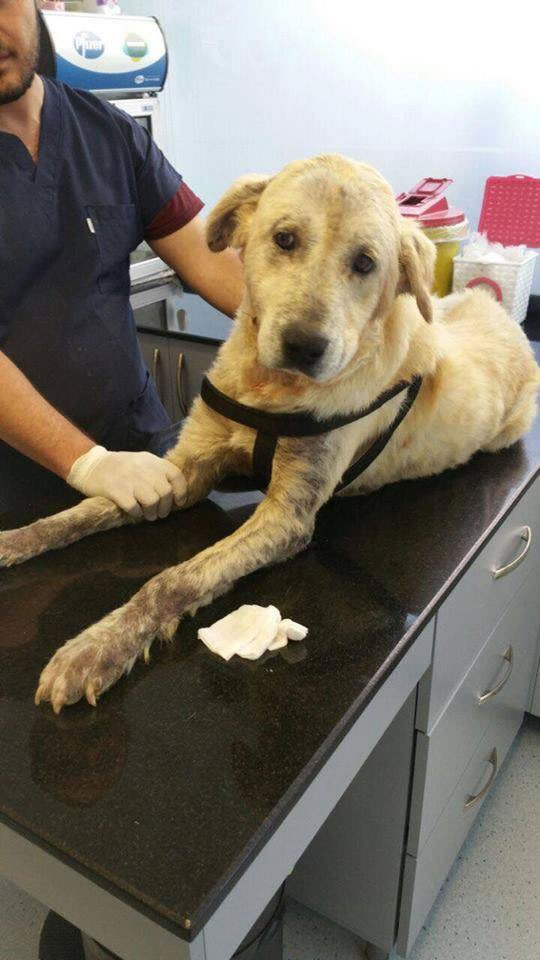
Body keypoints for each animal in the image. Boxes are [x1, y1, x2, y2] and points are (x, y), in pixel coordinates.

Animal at [1, 156, 540, 712]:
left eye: (365, 262)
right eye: (284, 238)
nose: (304, 345)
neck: (270, 390)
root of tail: (505, 319)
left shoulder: (288, 516)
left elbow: (174, 579)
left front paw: (98, 647)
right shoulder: (189, 466)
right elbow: (86, 509)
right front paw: (17, 539)